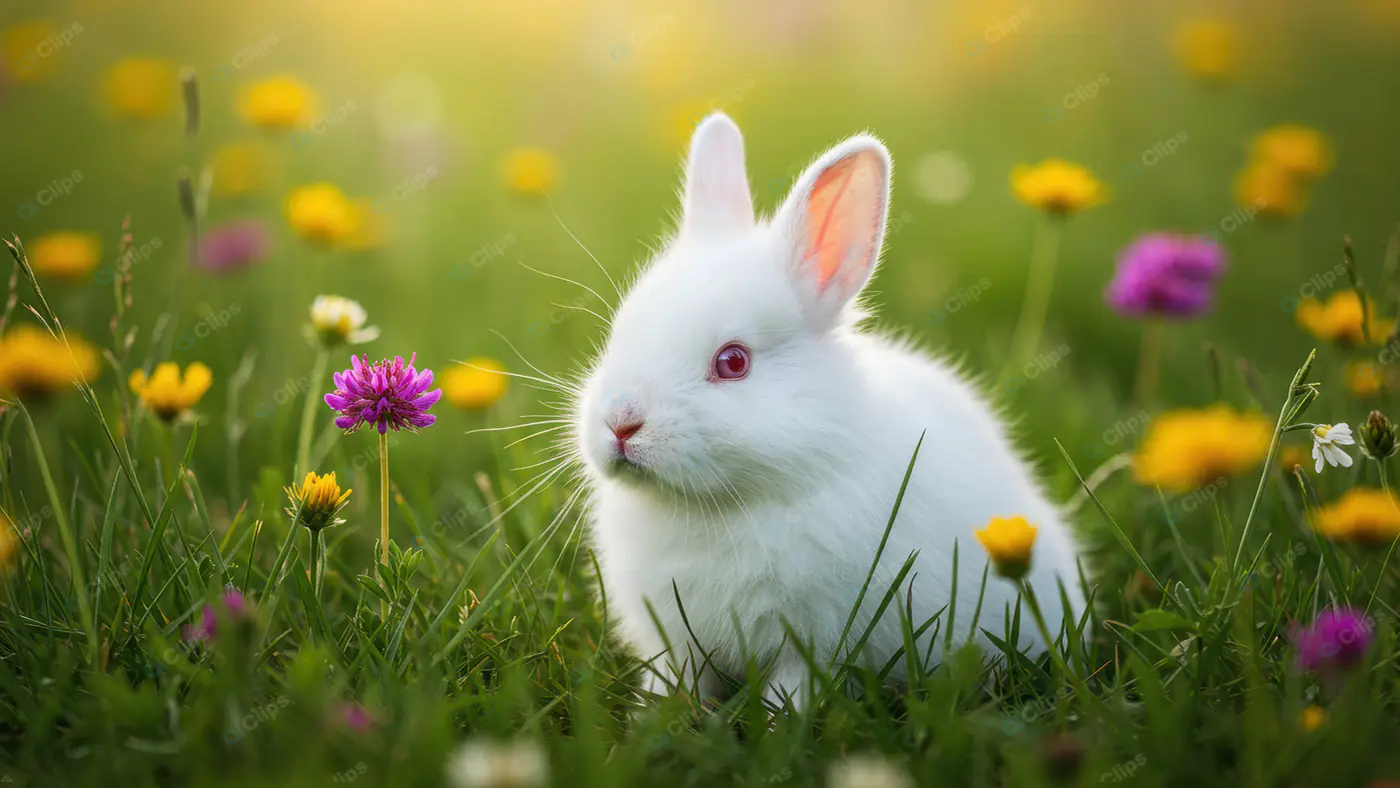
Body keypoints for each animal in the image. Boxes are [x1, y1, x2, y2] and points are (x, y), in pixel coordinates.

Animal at [571, 112, 1086, 710]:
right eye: (620, 333)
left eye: (733, 361)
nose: (621, 424)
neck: (716, 507)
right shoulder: (675, 641)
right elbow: (675, 684)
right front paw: (652, 720)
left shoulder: (811, 642)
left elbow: (789, 692)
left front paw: (778, 723)